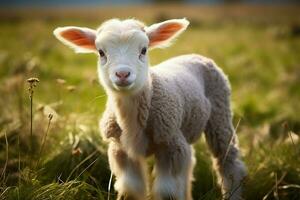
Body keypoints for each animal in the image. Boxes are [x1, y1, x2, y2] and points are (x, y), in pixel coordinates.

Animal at [54, 18, 246, 200]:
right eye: (101, 52)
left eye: (144, 50)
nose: (122, 74)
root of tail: (193, 55)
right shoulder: (120, 149)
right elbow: (131, 189)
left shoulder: (169, 143)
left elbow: (167, 191)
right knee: (189, 164)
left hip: (220, 115)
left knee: (229, 163)